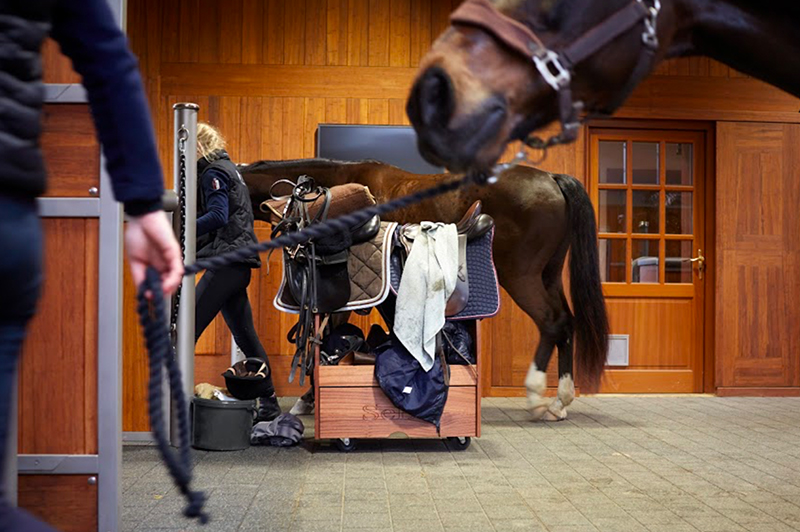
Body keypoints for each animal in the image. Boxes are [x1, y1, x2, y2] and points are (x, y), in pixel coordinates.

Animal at [241, 158, 608, 420]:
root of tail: (551, 179)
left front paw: (308, 399)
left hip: (522, 277)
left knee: (552, 323)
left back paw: (535, 394)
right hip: (548, 275)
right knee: (566, 323)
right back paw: (560, 400)